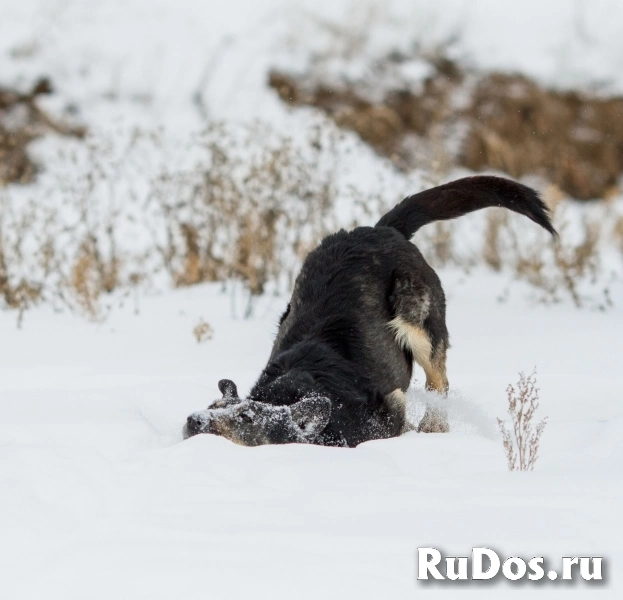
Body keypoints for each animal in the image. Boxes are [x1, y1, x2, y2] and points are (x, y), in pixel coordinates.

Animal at [184, 175, 556, 446]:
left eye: (246, 418)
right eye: (213, 407)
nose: (194, 419)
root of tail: (381, 229)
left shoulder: (389, 409)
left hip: (417, 322)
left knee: (439, 382)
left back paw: (433, 429)